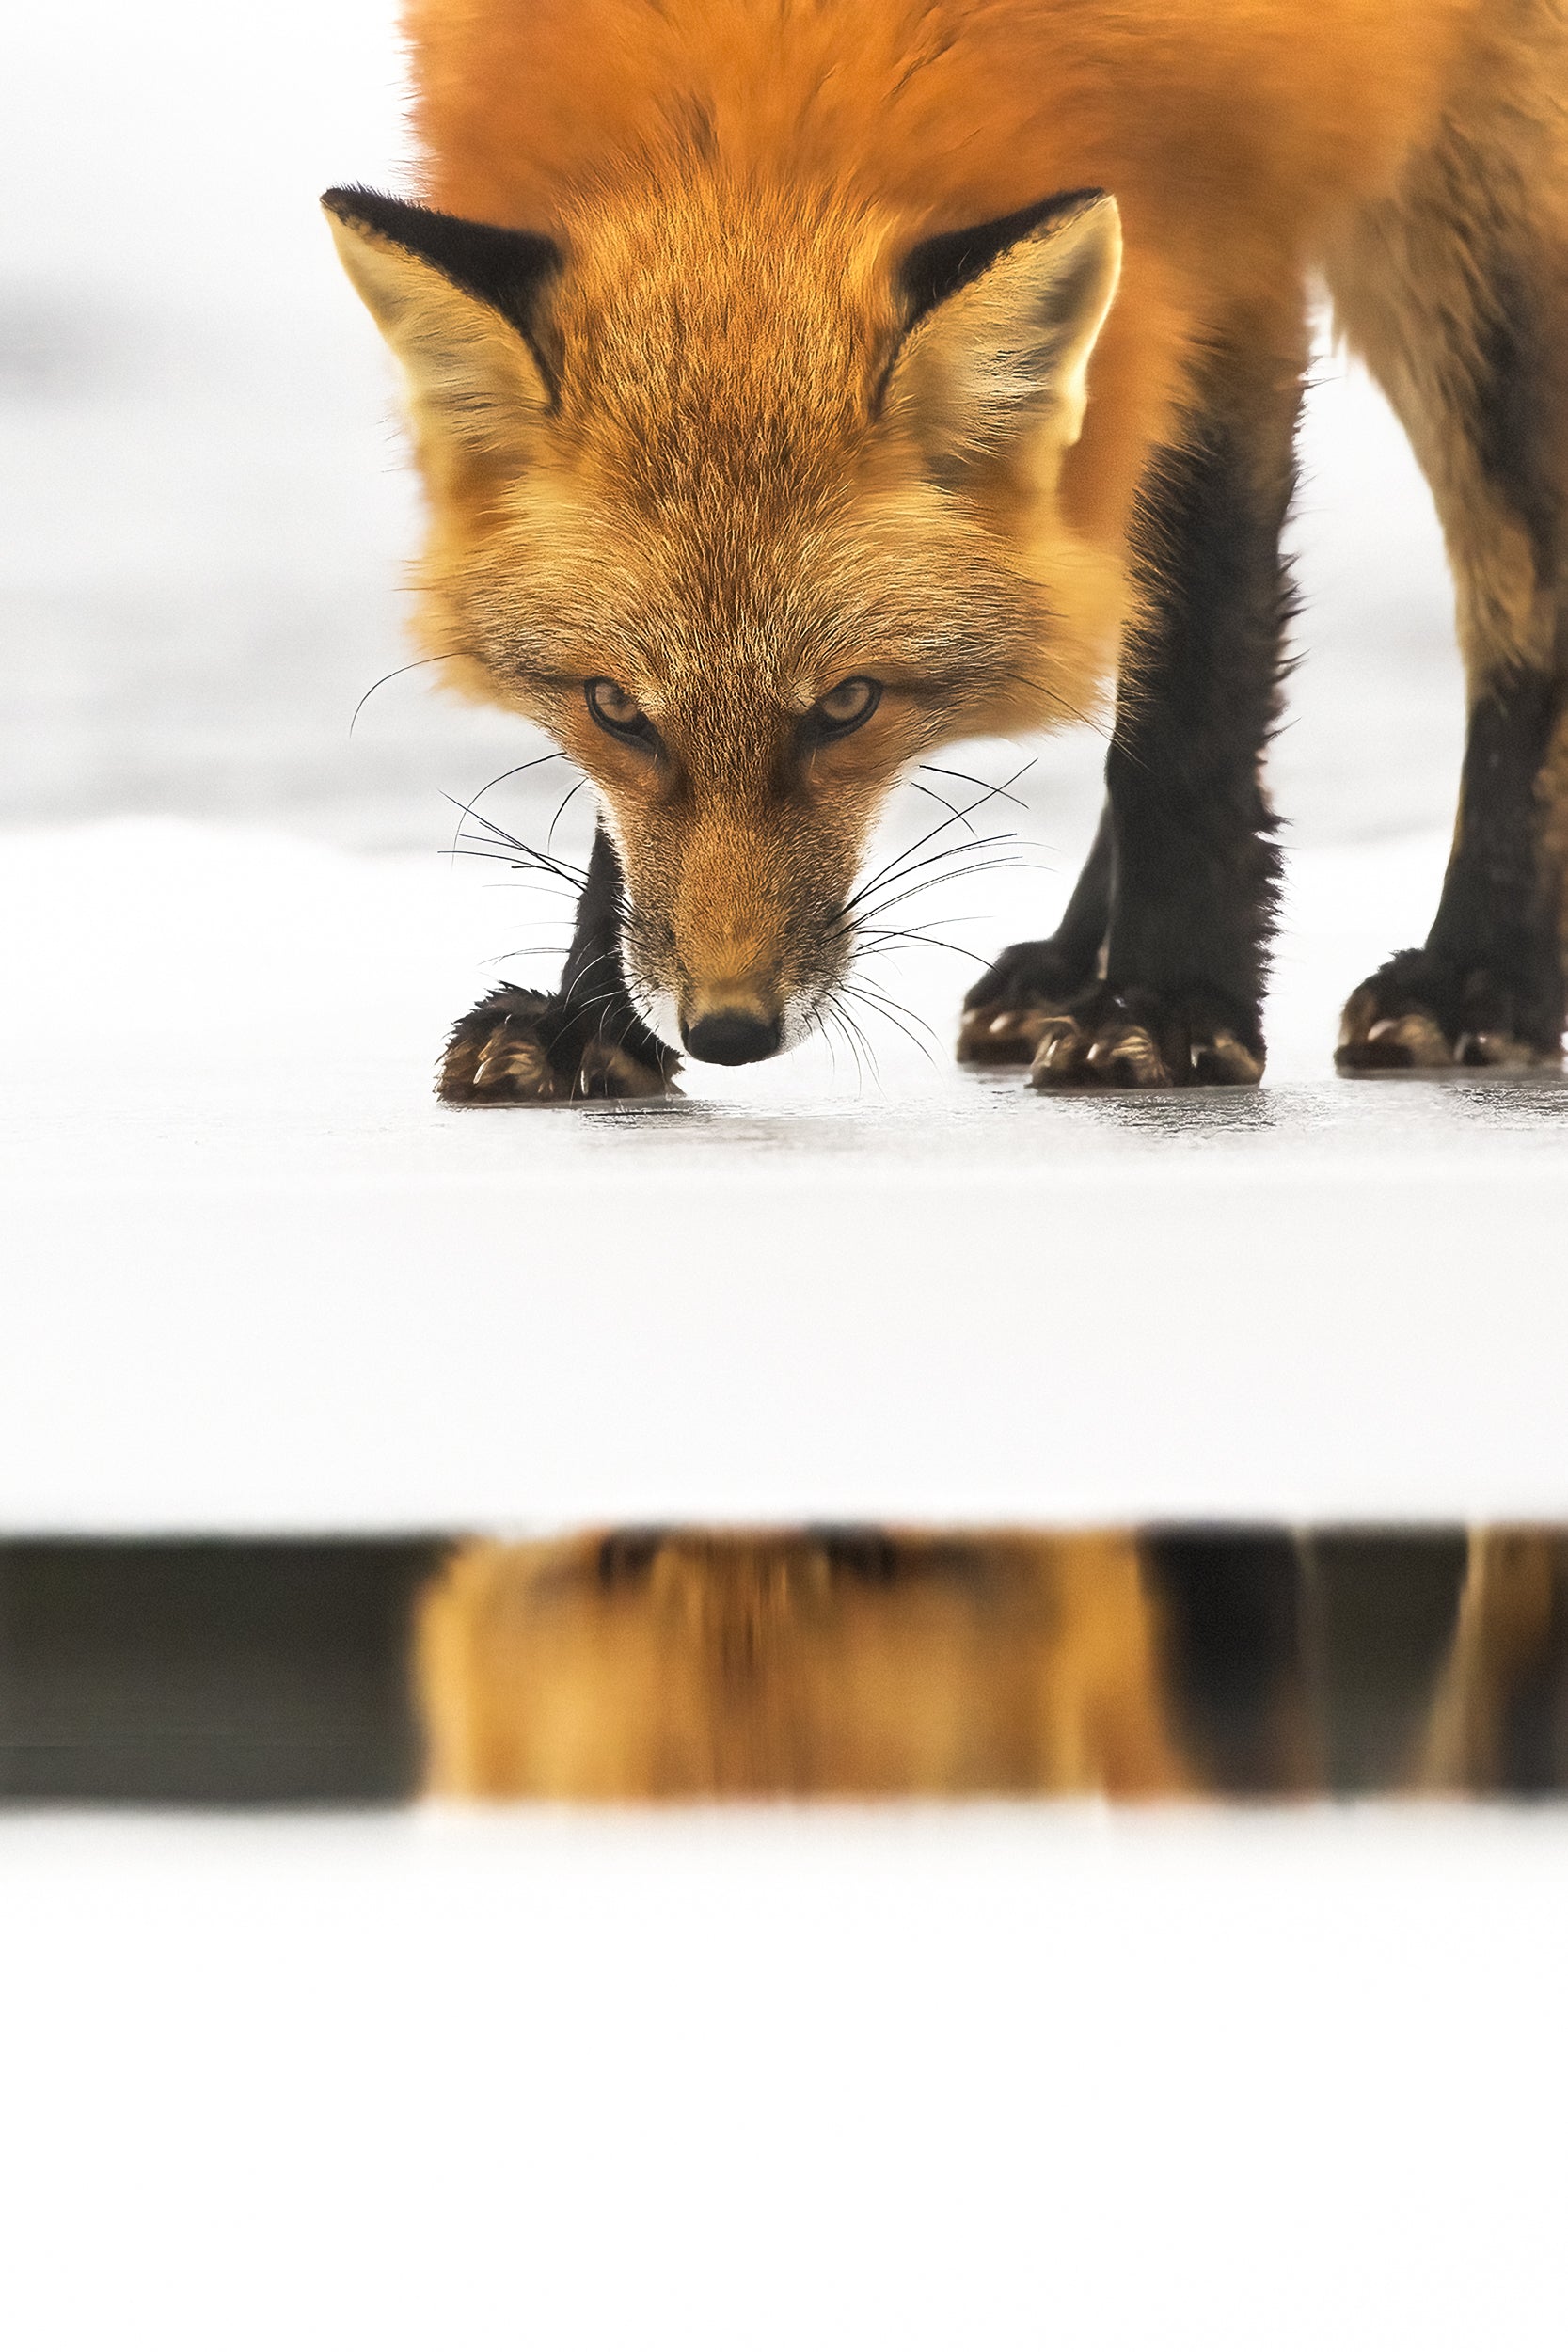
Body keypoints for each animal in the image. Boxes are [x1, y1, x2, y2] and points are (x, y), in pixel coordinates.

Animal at [324, 0, 1568, 1100]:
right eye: (615, 707)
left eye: (848, 705)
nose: (726, 1030)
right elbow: (622, 838)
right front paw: (591, 1018)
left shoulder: (1234, 267)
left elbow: (1189, 704)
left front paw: (1170, 1002)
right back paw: (1063, 970)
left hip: (1477, 217)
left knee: (1520, 608)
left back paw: (1480, 976)